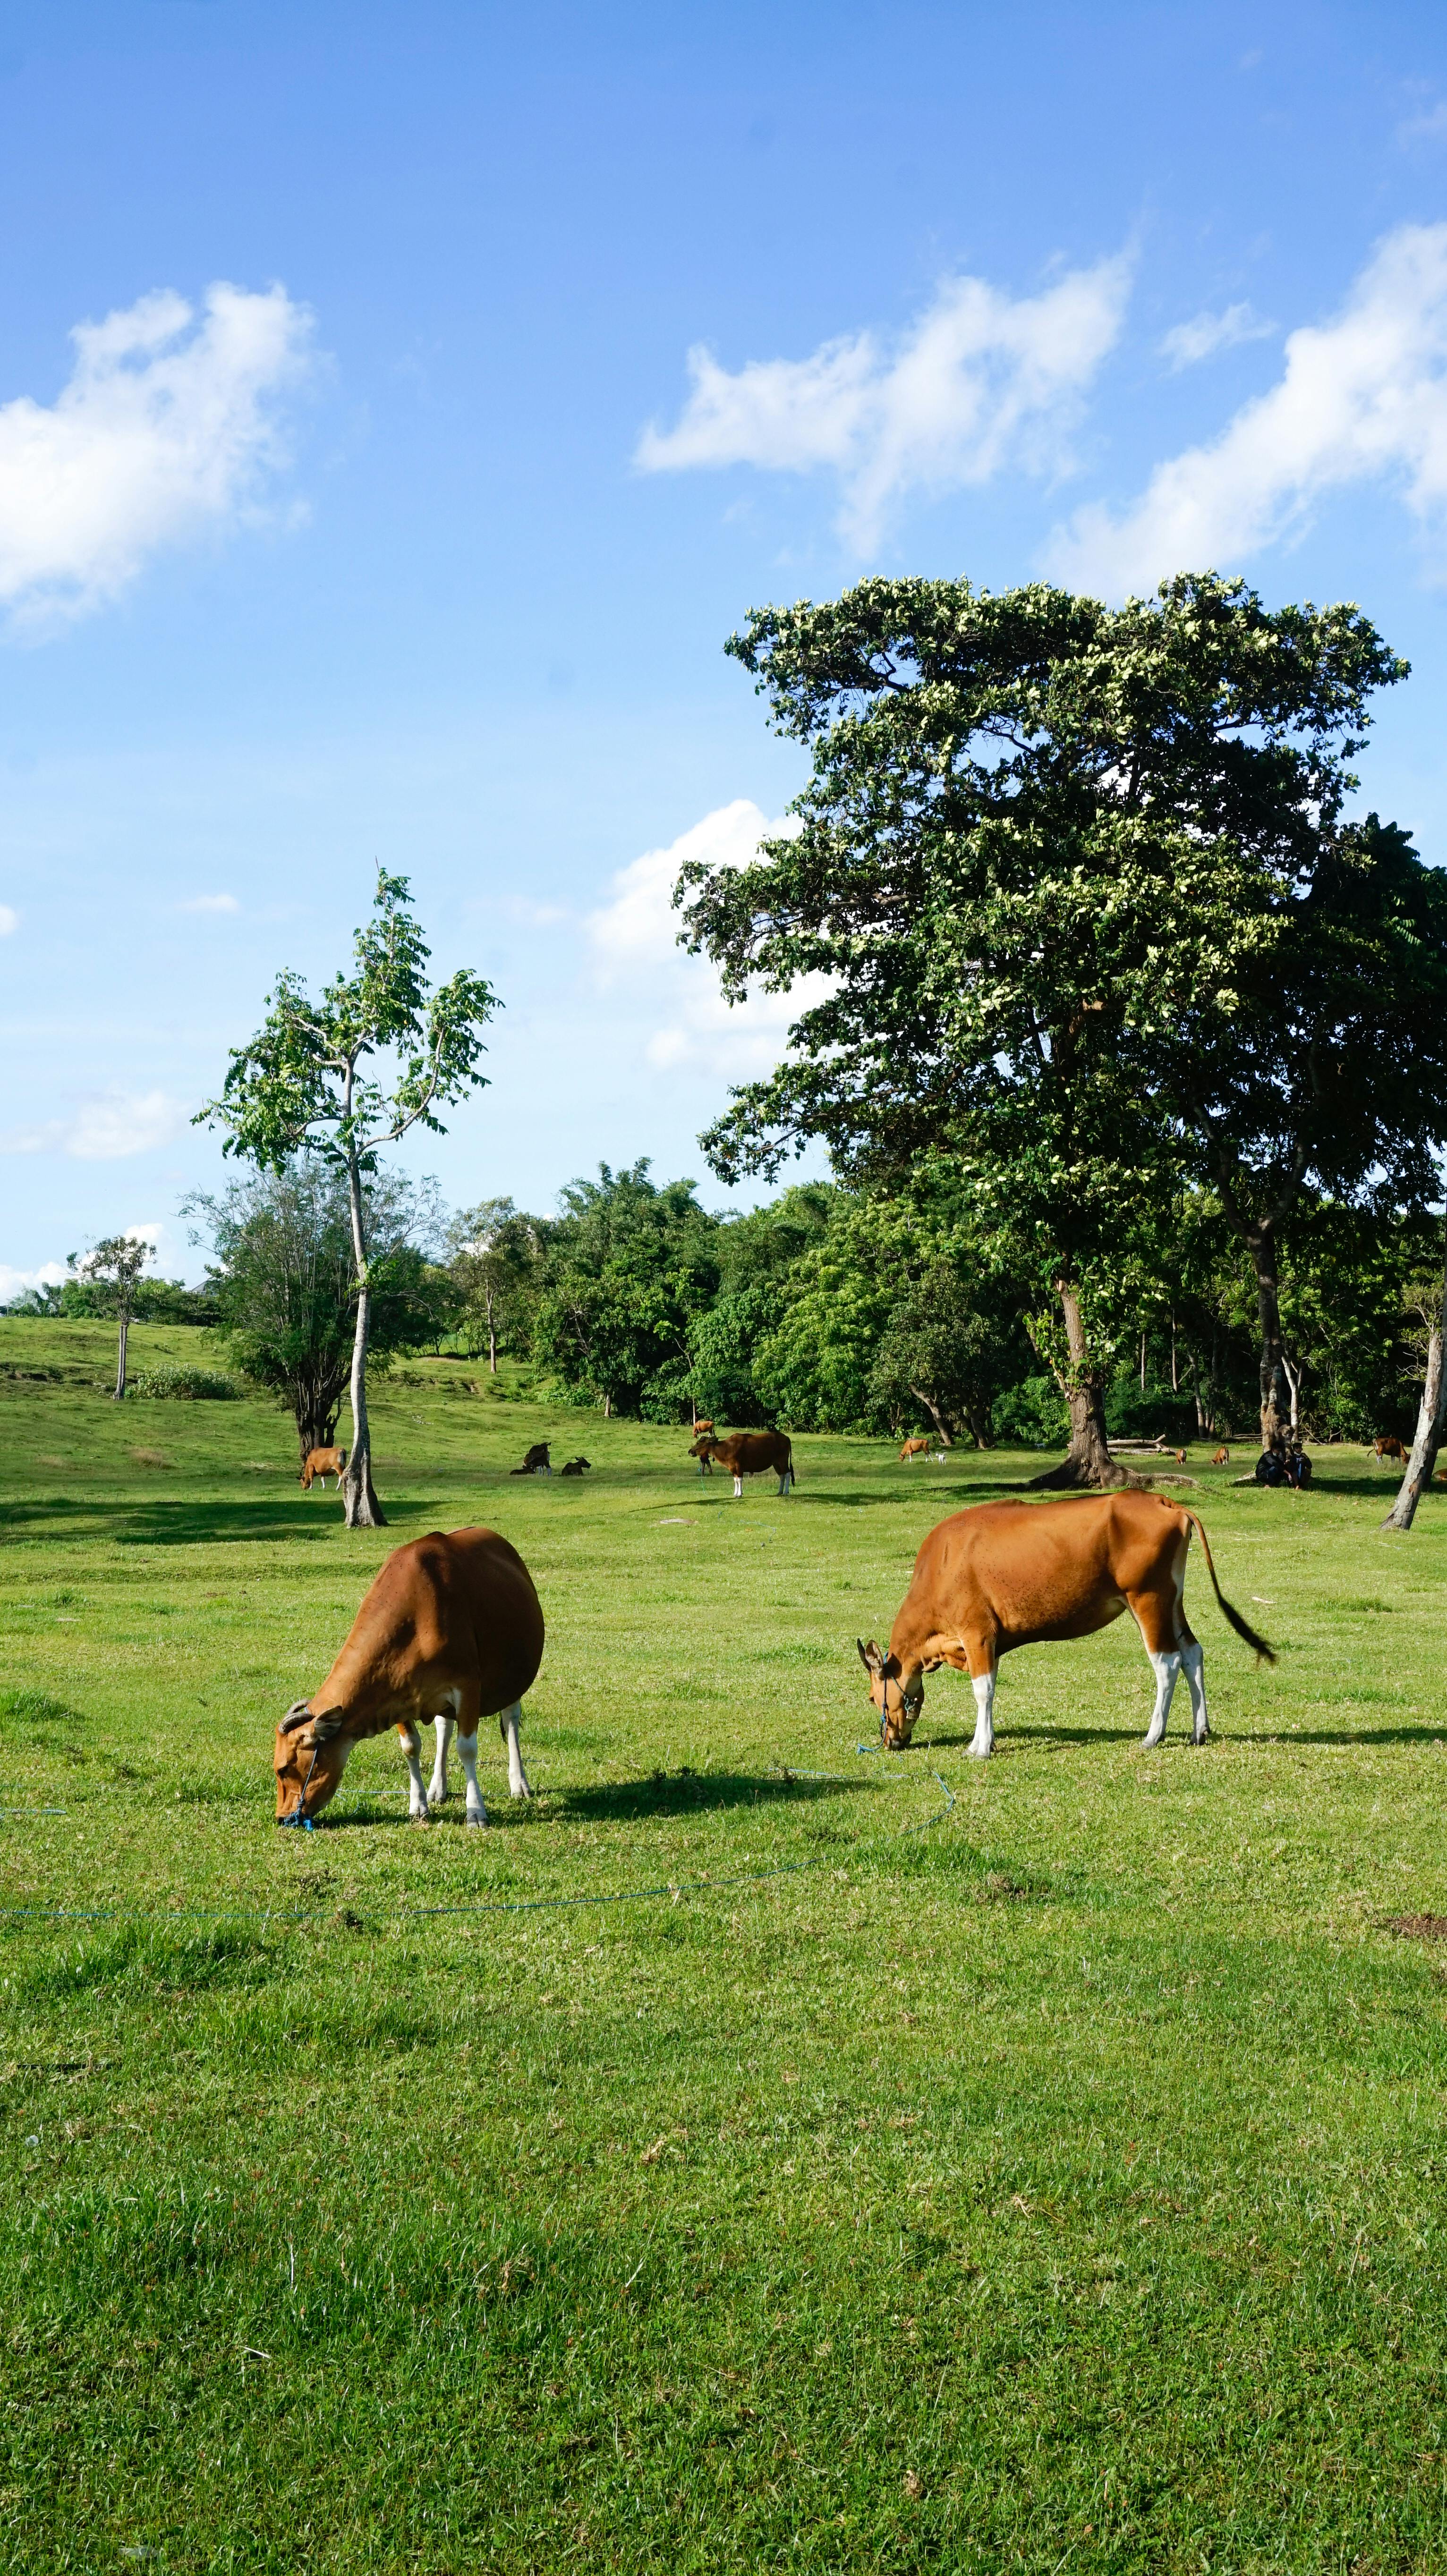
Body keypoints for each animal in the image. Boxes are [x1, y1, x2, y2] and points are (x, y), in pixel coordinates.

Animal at [274, 1527, 544, 1829]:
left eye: (284, 1768)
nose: (282, 1817)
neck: (416, 1618)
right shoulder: (396, 1695)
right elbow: (411, 1747)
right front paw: (418, 1805)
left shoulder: (467, 1687)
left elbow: (467, 1749)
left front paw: (476, 1810)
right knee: (444, 1725)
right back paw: (438, 1787)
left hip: (514, 1678)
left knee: (511, 1721)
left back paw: (519, 1783)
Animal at [689, 1429, 795, 1496]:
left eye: (699, 1443)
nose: (690, 1451)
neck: (727, 1448)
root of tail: (787, 1438)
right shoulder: (733, 1468)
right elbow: (736, 1480)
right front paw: (736, 1493)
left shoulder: (739, 1467)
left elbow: (739, 1480)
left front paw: (739, 1494)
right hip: (776, 1463)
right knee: (782, 1475)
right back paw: (780, 1492)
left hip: (782, 1461)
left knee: (788, 1473)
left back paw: (786, 1492)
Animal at [858, 1491, 1273, 1760]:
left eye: (873, 1699)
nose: (889, 1741)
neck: (943, 1564)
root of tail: (1165, 1502)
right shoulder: (988, 1642)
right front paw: (985, 1741)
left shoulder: (977, 1634)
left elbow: (983, 1691)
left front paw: (980, 1747)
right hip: (1172, 1601)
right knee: (1191, 1652)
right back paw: (1199, 1731)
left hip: (1147, 1599)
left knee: (1166, 1662)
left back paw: (1153, 1736)